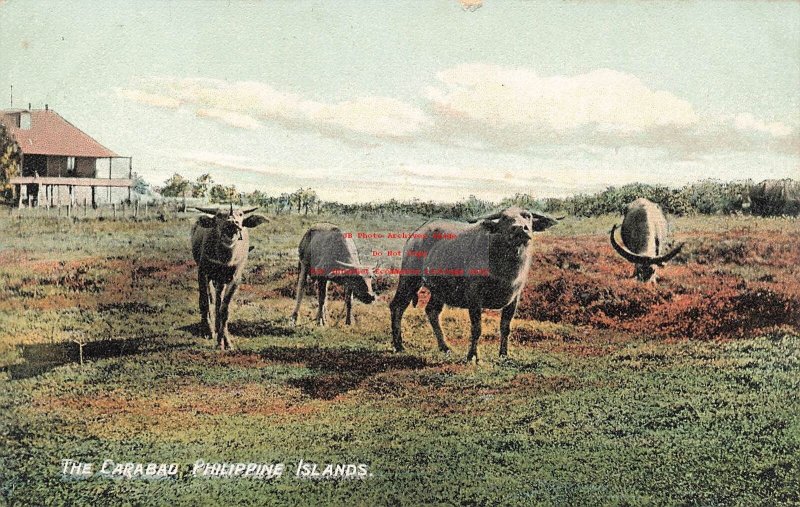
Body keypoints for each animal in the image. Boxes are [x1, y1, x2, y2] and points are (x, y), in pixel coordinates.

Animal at [192, 205, 270, 350]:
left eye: (240, 214)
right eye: (218, 215)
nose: (232, 222)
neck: (225, 258)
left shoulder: (234, 278)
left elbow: (224, 309)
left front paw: (224, 342)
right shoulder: (202, 271)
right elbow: (205, 301)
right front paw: (208, 331)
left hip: (221, 280)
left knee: (218, 300)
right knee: (209, 298)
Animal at [390, 208, 560, 364]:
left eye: (527, 216)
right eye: (504, 218)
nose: (519, 228)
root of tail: (414, 236)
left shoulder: (514, 298)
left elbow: (505, 328)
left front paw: (504, 355)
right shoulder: (474, 297)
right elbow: (477, 328)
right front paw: (472, 356)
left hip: (440, 290)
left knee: (432, 311)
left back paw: (445, 348)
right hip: (409, 279)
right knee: (397, 306)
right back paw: (399, 346)